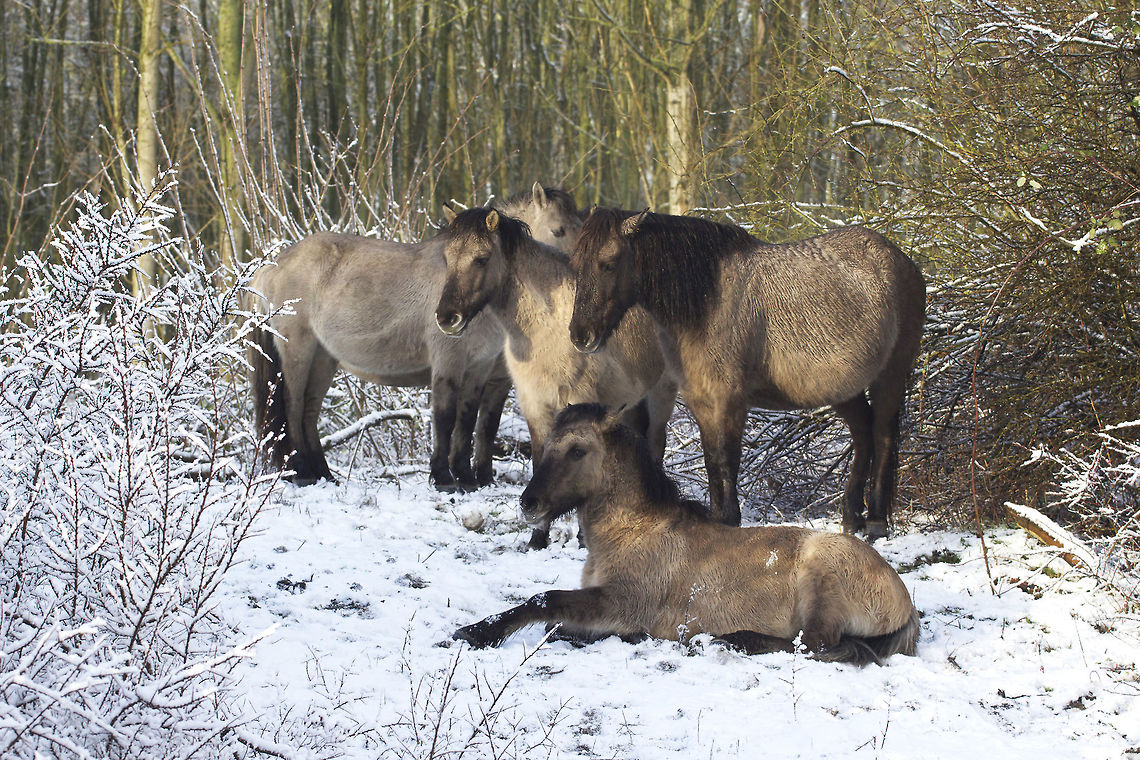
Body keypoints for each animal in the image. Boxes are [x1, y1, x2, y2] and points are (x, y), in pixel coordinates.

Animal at [247, 189, 582, 489]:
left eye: (482, 259)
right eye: (558, 230)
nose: (448, 318)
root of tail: (271, 267)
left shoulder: (481, 369)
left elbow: (471, 420)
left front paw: (468, 478)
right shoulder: (450, 363)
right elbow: (446, 418)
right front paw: (444, 478)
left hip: (323, 358)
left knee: (309, 409)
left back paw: (323, 474)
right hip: (298, 351)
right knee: (292, 404)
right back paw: (303, 472)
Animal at [434, 206, 678, 549]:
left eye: (481, 258)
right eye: (447, 257)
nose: (447, 318)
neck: (547, 327)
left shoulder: (579, 401)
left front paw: (583, 539)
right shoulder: (535, 405)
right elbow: (541, 461)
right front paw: (537, 538)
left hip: (661, 396)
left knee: (656, 444)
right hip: (630, 403)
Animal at [453, 403, 919, 665]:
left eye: (578, 450)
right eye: (548, 445)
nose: (528, 503)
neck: (633, 531)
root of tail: (904, 599)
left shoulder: (621, 602)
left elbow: (544, 600)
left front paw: (474, 633)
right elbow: (556, 622)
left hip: (819, 585)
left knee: (817, 647)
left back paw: (726, 641)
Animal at [568, 209, 926, 539]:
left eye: (609, 263)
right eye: (576, 265)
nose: (580, 335)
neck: (709, 300)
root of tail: (901, 261)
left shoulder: (730, 400)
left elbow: (727, 462)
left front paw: (729, 523)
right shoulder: (701, 401)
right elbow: (713, 462)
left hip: (890, 376)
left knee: (882, 434)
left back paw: (876, 522)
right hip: (843, 388)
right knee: (863, 434)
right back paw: (852, 518)